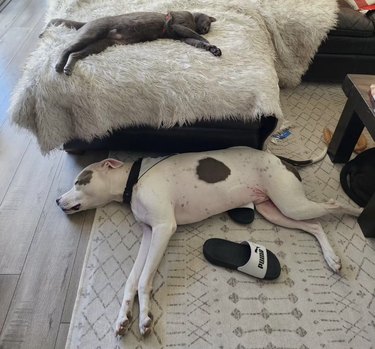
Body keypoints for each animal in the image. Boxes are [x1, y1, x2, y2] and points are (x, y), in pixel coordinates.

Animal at [40, 10, 223, 75]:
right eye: (208, 23)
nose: (206, 29)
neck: (193, 20)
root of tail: (88, 22)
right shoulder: (179, 25)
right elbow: (196, 37)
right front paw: (210, 43)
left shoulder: (183, 37)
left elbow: (195, 41)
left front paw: (212, 48)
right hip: (91, 35)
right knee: (66, 49)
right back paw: (59, 65)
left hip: (99, 45)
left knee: (75, 54)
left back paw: (67, 68)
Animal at [57, 146, 362, 334]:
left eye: (80, 181)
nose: (58, 201)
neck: (134, 180)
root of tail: (278, 157)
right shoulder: (149, 233)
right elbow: (132, 280)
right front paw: (123, 318)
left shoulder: (164, 229)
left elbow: (144, 280)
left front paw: (144, 319)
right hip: (276, 211)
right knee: (315, 226)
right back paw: (332, 258)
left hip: (292, 204)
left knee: (334, 205)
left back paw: (359, 212)